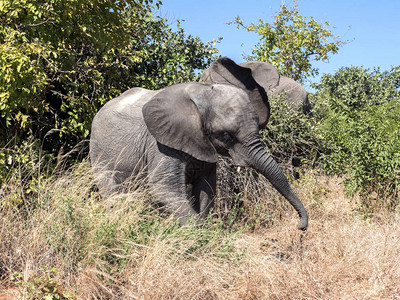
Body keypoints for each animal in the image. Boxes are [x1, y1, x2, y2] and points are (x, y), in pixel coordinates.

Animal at [90, 56, 308, 230]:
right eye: (226, 135)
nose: (301, 227)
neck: (202, 95)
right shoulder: (160, 142)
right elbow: (163, 187)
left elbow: (206, 188)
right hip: (99, 154)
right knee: (112, 191)